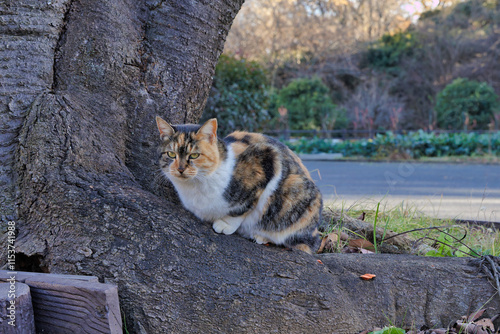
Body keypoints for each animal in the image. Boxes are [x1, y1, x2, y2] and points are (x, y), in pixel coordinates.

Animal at [154, 117, 322, 253]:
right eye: (171, 154)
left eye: (194, 155)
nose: (180, 169)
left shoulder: (267, 159)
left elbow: (243, 207)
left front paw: (225, 223)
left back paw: (261, 236)